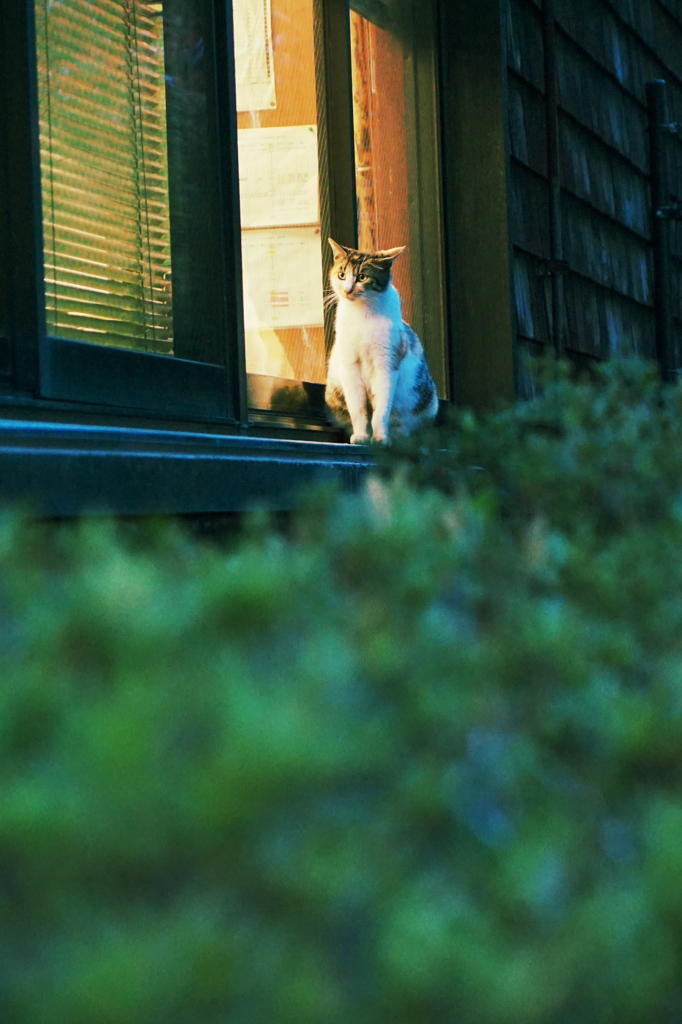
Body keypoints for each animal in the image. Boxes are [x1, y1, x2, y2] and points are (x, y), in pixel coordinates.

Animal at [323, 241, 438, 450]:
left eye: (362, 277)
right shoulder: (349, 366)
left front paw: (380, 438)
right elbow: (358, 408)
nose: (347, 290)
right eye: (342, 274)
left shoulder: (386, 363)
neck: (362, 314)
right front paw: (361, 436)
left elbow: (382, 409)